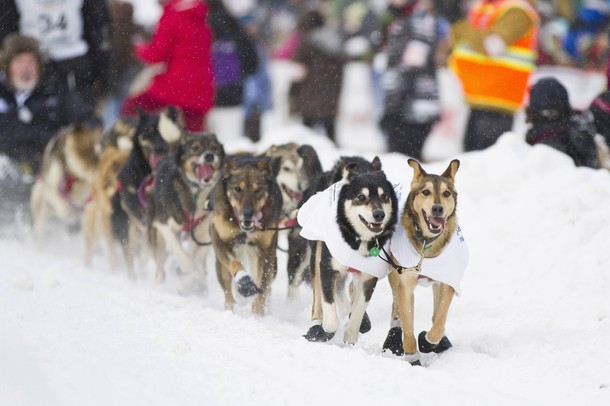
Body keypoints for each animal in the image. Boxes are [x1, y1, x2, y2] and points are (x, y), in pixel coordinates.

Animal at [210, 154, 282, 316]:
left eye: (258, 190)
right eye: (238, 189)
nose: (248, 214)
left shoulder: (266, 251)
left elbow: (263, 286)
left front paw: (258, 314)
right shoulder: (221, 241)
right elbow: (234, 262)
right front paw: (244, 281)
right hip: (220, 266)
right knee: (228, 293)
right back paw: (230, 310)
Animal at [296, 157, 396, 344]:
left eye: (384, 196)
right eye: (361, 197)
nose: (379, 214)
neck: (358, 239)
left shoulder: (369, 277)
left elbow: (358, 309)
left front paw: (351, 332)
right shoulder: (327, 267)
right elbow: (329, 309)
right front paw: (328, 327)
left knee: (349, 288)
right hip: (316, 258)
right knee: (320, 296)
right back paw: (318, 323)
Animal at [382, 159, 468, 364]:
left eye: (446, 193)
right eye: (426, 192)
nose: (437, 208)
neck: (427, 244)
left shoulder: (447, 281)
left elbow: (438, 321)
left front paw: (428, 341)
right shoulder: (405, 283)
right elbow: (407, 326)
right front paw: (412, 357)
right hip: (394, 275)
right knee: (396, 307)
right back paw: (393, 339)